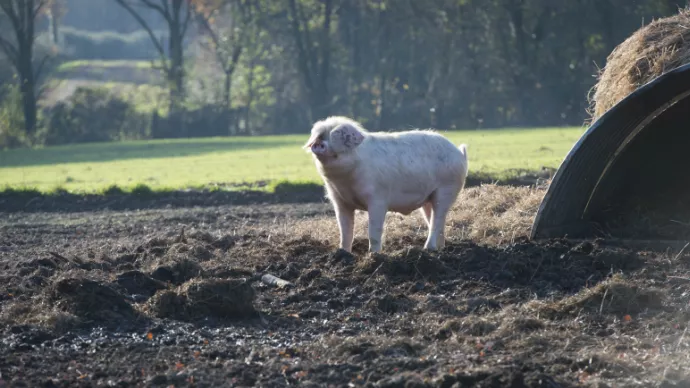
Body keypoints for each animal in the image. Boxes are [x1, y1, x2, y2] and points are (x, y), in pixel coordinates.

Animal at [302, 115, 468, 255]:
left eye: (336, 135)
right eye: (319, 135)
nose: (318, 143)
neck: (345, 179)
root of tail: (459, 153)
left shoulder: (378, 199)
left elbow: (373, 231)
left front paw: (374, 255)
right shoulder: (340, 201)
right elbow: (345, 231)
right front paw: (343, 254)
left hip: (447, 189)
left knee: (437, 219)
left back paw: (428, 249)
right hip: (429, 198)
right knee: (435, 220)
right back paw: (439, 249)